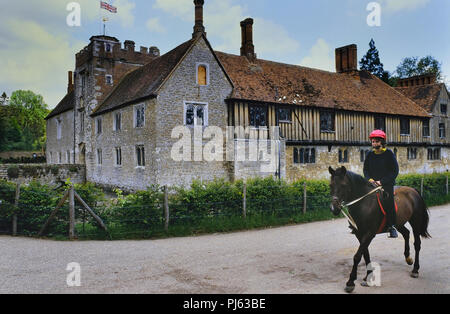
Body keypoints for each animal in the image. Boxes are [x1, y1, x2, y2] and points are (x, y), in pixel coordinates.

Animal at [328, 166, 430, 294]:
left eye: (343, 185)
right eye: (330, 185)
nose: (334, 208)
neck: (364, 203)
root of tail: (413, 190)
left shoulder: (369, 234)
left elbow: (357, 256)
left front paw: (350, 282)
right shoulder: (360, 234)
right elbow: (365, 254)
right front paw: (368, 276)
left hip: (415, 222)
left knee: (417, 243)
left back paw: (415, 269)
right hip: (399, 223)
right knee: (406, 233)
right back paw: (408, 258)